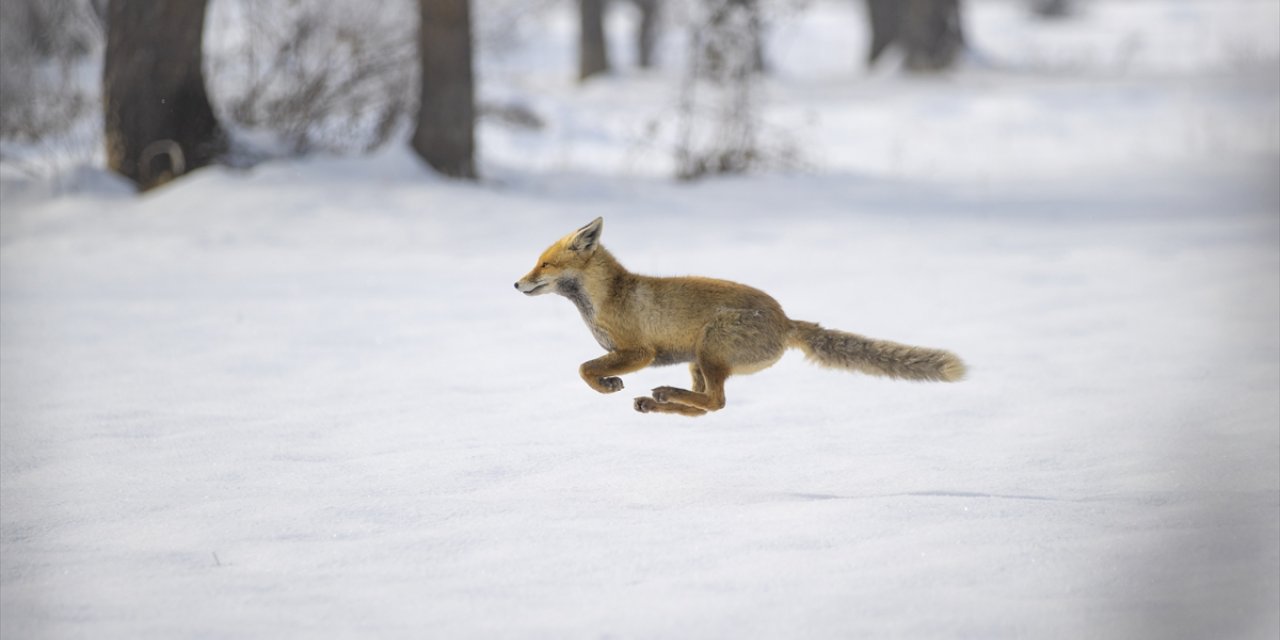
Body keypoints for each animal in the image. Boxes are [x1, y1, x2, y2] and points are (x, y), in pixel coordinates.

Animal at [514, 217, 962, 417]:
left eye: (544, 265)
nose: (517, 284)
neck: (604, 299)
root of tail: (786, 320)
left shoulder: (639, 352)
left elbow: (584, 368)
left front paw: (607, 385)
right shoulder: (635, 353)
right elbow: (586, 367)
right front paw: (611, 385)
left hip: (709, 349)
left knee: (716, 401)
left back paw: (663, 395)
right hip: (697, 359)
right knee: (708, 407)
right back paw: (658, 401)